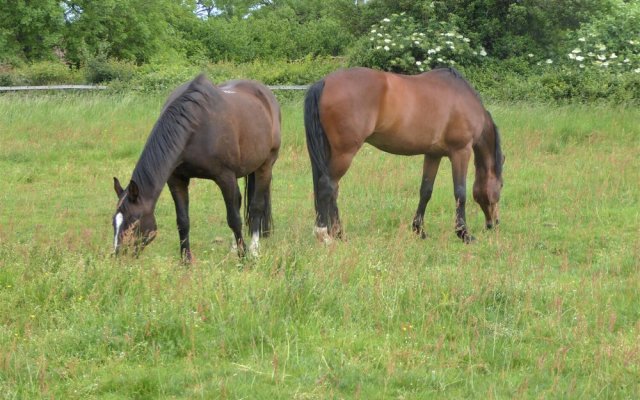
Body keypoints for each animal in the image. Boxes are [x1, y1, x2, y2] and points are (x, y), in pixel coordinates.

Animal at [112, 73, 280, 260]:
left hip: (265, 166)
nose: (118, 256)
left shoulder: (225, 177)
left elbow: (234, 219)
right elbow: (183, 221)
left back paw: (254, 250)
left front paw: (243, 258)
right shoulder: (177, 179)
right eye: (114, 223)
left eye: (134, 221)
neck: (195, 126)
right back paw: (233, 247)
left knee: (256, 207)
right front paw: (186, 259)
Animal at [304, 67, 504, 242]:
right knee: (327, 187)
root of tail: (324, 82)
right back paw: (324, 235)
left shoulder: (433, 155)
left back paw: (339, 234)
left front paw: (419, 230)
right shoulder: (461, 151)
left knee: (332, 190)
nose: (494, 223)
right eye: (501, 186)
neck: (463, 99)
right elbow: (460, 193)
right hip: (344, 153)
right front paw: (463, 234)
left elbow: (426, 191)